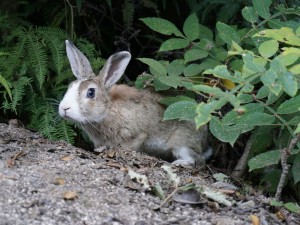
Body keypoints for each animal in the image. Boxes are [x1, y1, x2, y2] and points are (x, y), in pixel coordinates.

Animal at [59, 40, 209, 167]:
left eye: (91, 92)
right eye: (70, 87)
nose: (64, 108)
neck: (108, 109)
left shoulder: (137, 135)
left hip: (181, 144)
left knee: (198, 160)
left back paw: (179, 163)